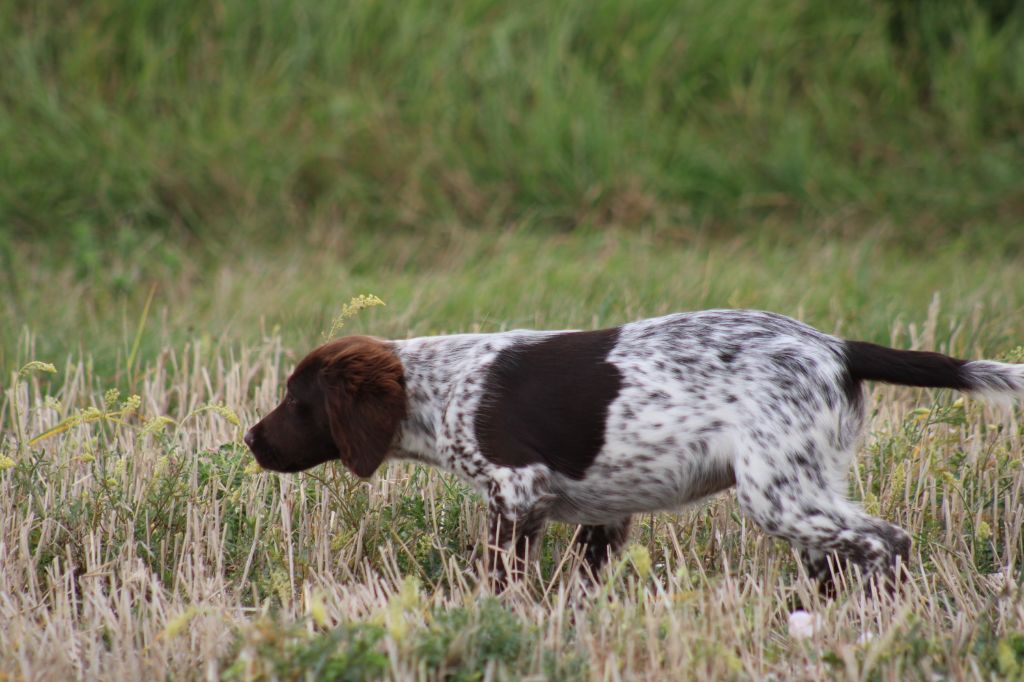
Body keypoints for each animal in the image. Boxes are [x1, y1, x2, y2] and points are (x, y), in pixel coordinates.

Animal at [241, 309, 1024, 589]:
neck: (443, 386)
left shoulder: (516, 490)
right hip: (805, 485)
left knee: (886, 540)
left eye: (298, 401)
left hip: (778, 492)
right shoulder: (603, 512)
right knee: (837, 554)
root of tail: (836, 346)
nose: (250, 439)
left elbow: (499, 575)